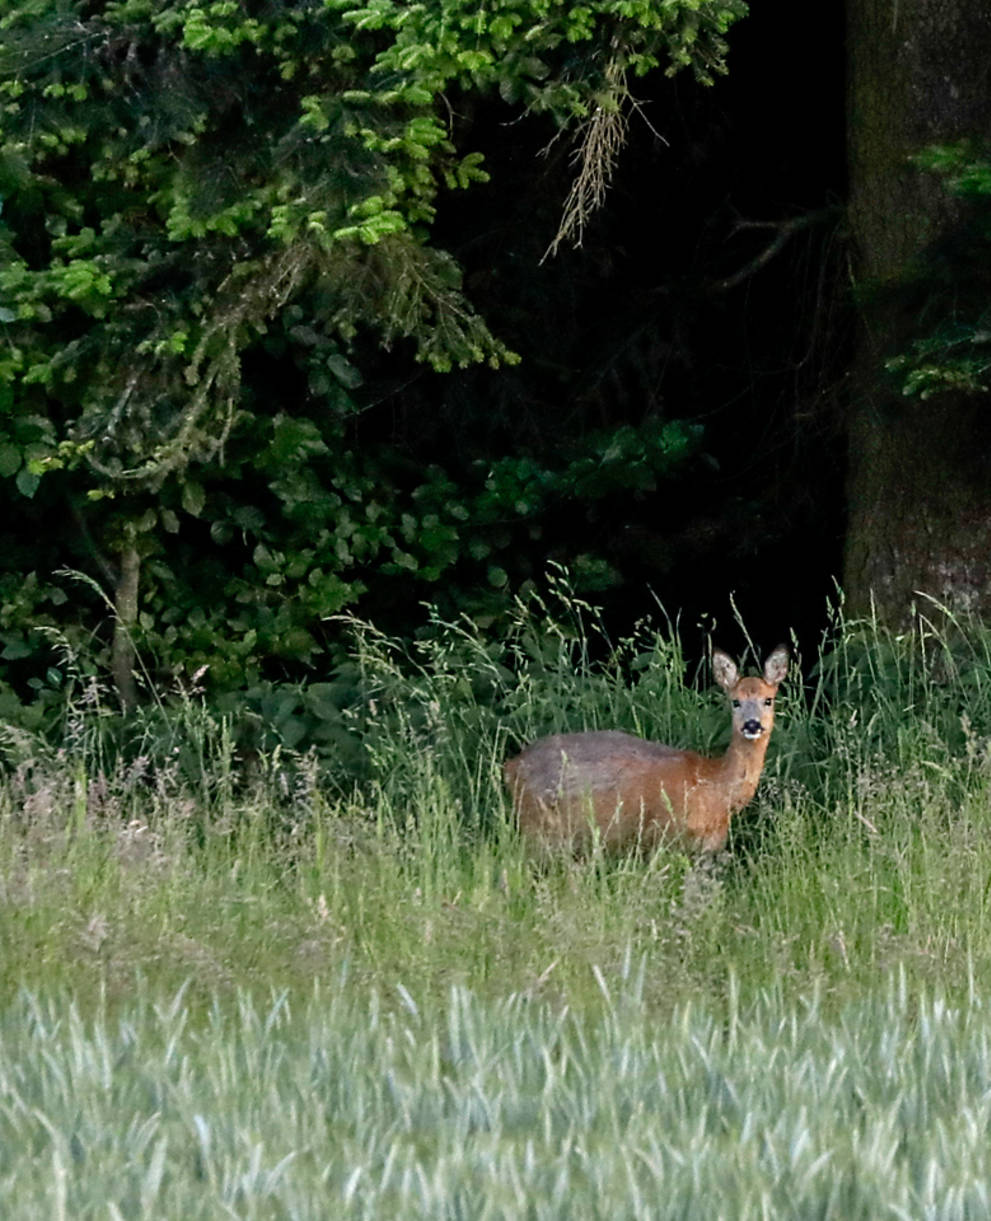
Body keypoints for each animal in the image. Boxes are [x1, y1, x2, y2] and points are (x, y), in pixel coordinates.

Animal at [507, 644, 785, 854]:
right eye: (735, 701)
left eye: (768, 700)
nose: (752, 724)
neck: (715, 787)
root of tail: (510, 766)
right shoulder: (662, 833)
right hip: (538, 827)